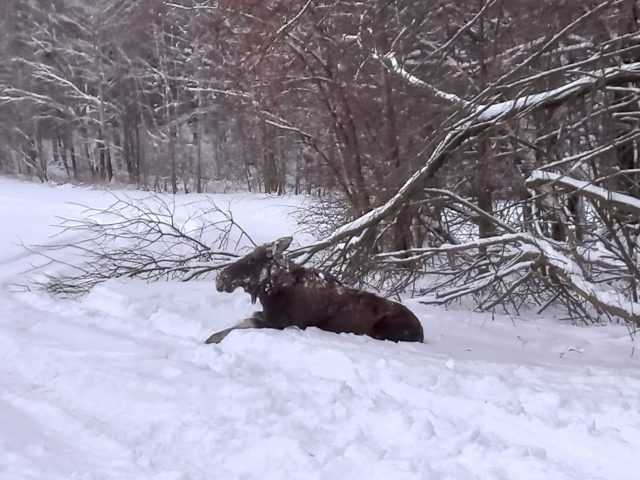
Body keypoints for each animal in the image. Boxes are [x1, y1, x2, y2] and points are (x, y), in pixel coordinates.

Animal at [205, 237, 424, 344]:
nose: (221, 278)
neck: (271, 292)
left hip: (380, 329)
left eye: (252, 259)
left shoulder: (282, 323)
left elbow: (241, 324)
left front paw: (212, 338)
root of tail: (421, 331)